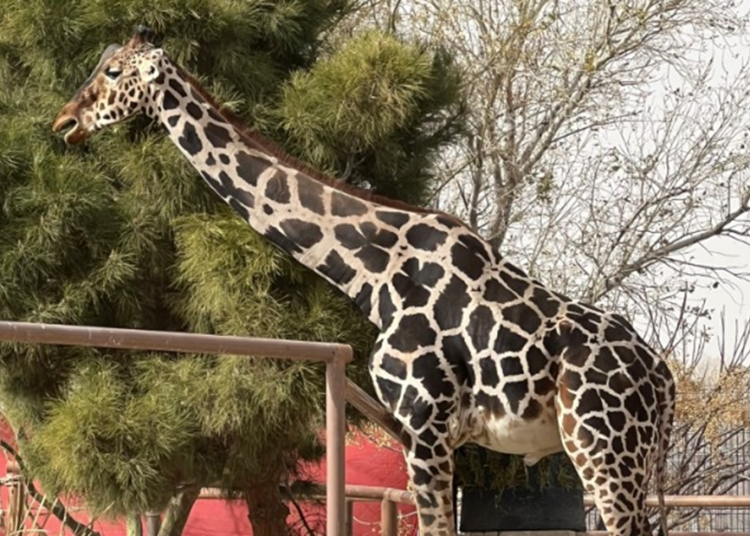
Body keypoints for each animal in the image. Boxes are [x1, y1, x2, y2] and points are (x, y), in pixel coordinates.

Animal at [53, 28, 675, 536]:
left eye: (113, 73)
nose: (64, 124)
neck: (373, 275)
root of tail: (664, 381)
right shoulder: (418, 433)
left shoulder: (427, 426)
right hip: (633, 459)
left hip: (602, 450)